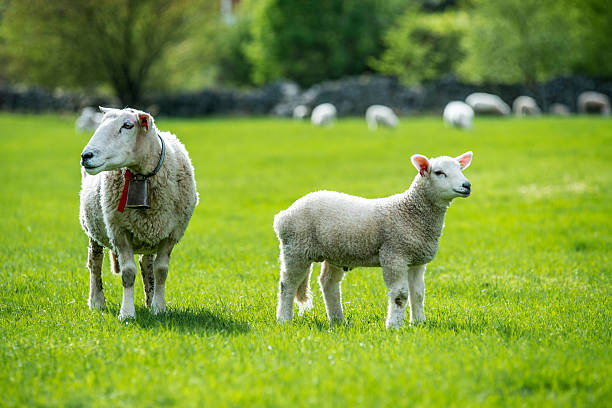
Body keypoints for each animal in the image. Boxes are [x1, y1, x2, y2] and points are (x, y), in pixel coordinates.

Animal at [79, 107, 197, 320]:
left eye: (128, 125)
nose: (86, 156)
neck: (142, 176)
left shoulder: (171, 234)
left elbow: (161, 271)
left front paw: (159, 308)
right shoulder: (119, 231)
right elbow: (128, 272)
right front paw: (127, 313)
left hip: (149, 233)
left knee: (146, 263)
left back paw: (149, 299)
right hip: (93, 227)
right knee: (95, 262)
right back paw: (97, 302)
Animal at [272, 151, 474, 330]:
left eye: (460, 168)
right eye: (439, 172)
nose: (467, 185)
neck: (410, 212)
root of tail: (283, 215)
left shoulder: (416, 260)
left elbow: (418, 293)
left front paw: (418, 323)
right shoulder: (394, 254)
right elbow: (400, 295)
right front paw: (394, 326)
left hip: (334, 252)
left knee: (328, 283)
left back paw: (338, 320)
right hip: (296, 248)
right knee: (287, 285)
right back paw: (284, 320)